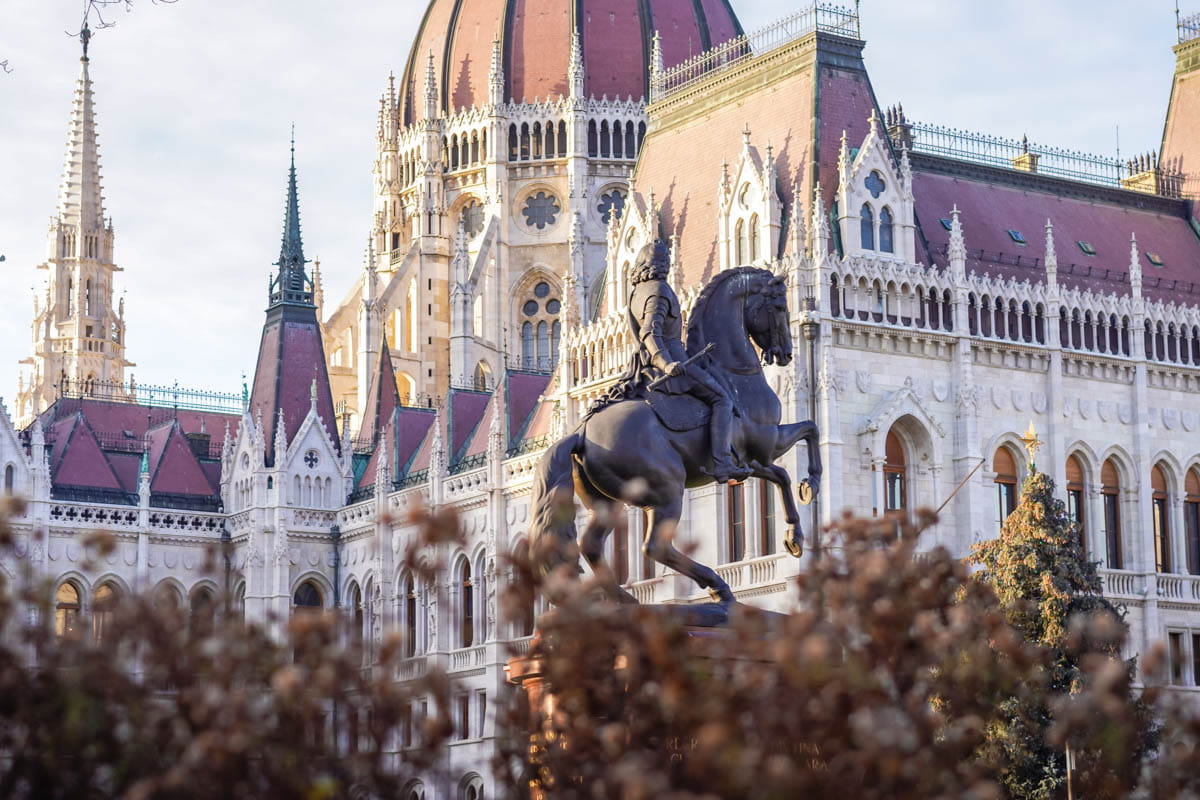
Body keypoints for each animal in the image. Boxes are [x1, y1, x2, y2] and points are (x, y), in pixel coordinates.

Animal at [530, 266, 820, 604]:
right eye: (779, 306)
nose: (785, 354)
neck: (731, 372)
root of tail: (580, 431)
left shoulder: (752, 461)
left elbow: (783, 476)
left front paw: (795, 534)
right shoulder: (768, 443)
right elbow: (809, 432)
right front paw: (811, 485)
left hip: (608, 502)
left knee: (591, 545)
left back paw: (625, 600)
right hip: (667, 489)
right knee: (655, 546)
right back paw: (716, 586)